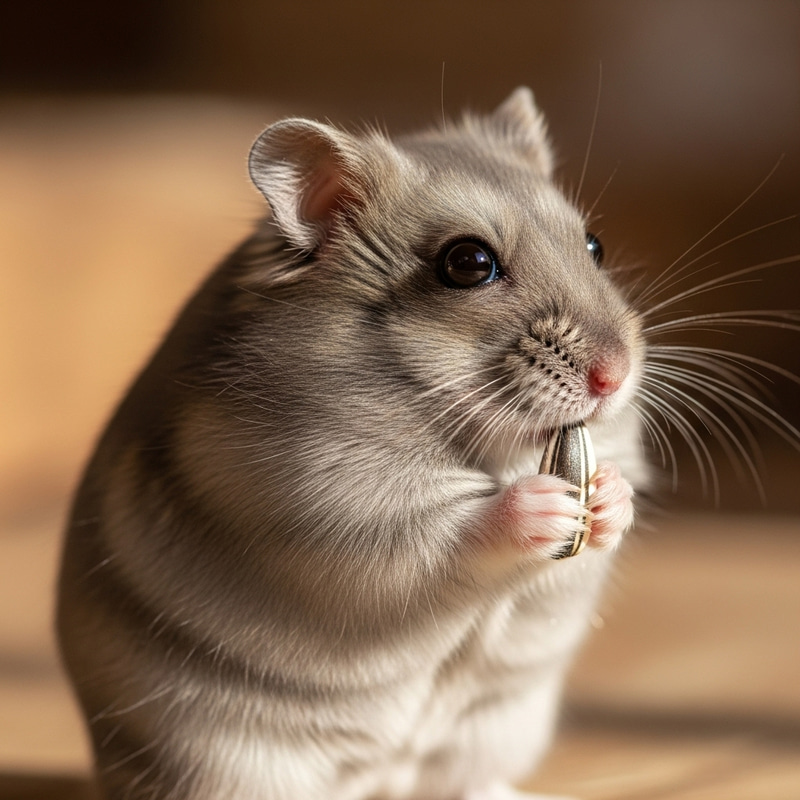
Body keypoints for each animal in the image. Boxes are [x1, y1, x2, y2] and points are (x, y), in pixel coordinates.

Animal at [57, 87, 646, 800]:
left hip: (496, 733)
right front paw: (550, 504)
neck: (484, 441)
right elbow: (454, 527)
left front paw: (608, 495)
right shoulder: (333, 496)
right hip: (223, 768)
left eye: (594, 243)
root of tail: (380, 781)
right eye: (469, 263)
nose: (614, 377)